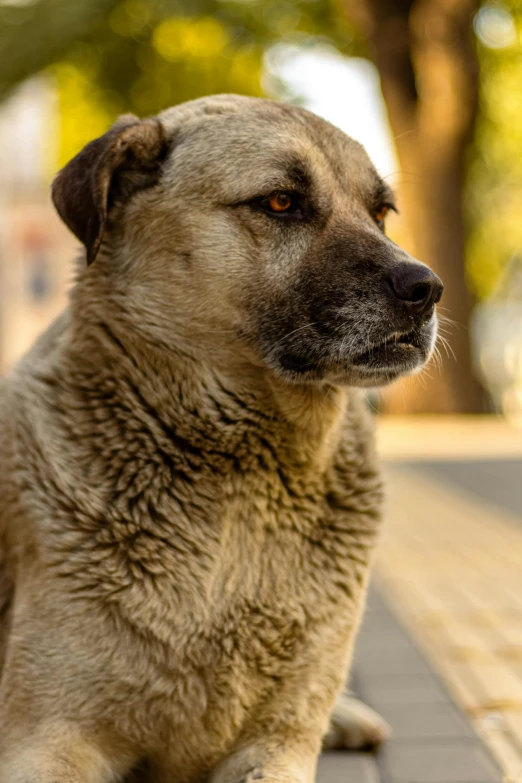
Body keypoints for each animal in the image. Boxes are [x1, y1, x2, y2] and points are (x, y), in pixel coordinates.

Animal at [0, 95, 440, 780]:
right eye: (281, 202)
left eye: (381, 213)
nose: (427, 289)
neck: (242, 467)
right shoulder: (47, 736)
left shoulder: (279, 739)